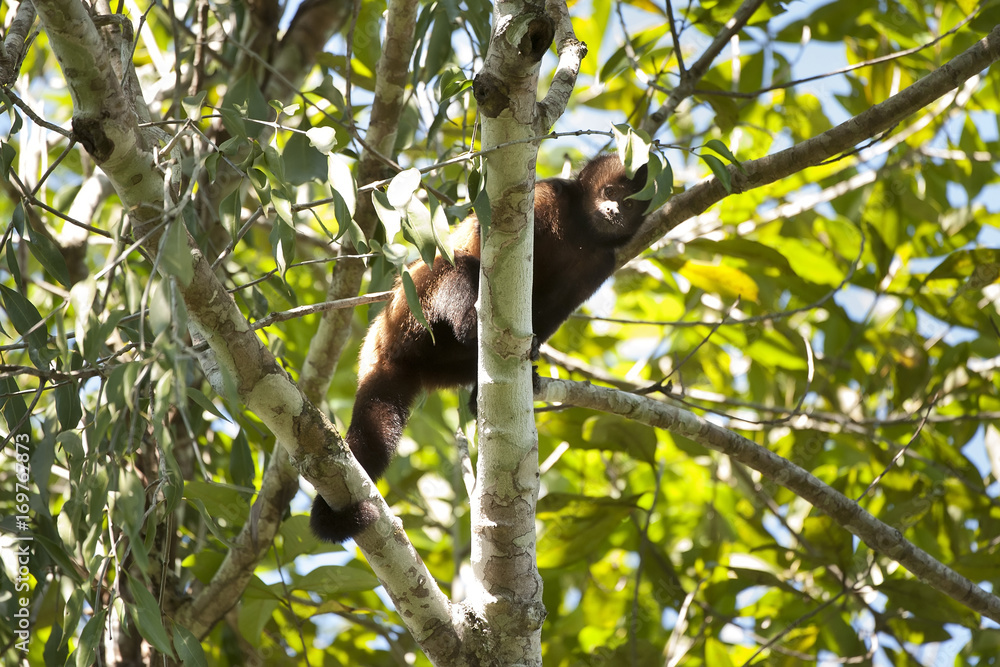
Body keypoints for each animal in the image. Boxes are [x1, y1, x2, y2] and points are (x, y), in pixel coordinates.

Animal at [310, 154, 649, 543]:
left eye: (629, 203)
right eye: (609, 192)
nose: (613, 210)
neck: (581, 228)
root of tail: (379, 348)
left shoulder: (601, 262)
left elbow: (553, 310)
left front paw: (531, 355)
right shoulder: (546, 197)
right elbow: (481, 238)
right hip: (411, 310)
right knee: (455, 263)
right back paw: (472, 330)